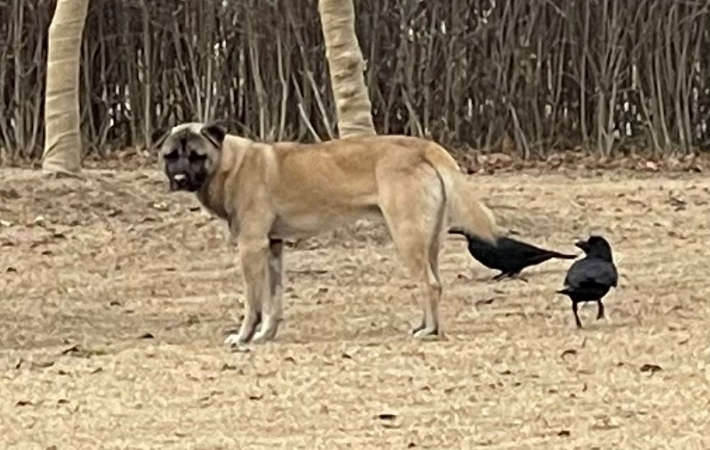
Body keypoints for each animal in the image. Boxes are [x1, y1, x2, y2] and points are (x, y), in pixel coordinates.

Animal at [156, 123, 500, 348]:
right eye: (171, 155)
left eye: (197, 155)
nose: (180, 179)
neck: (231, 164)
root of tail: (424, 146)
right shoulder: (273, 248)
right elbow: (273, 301)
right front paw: (266, 335)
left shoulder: (251, 248)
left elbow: (253, 304)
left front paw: (244, 337)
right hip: (429, 241)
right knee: (435, 283)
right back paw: (430, 327)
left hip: (407, 237)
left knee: (430, 284)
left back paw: (428, 331)